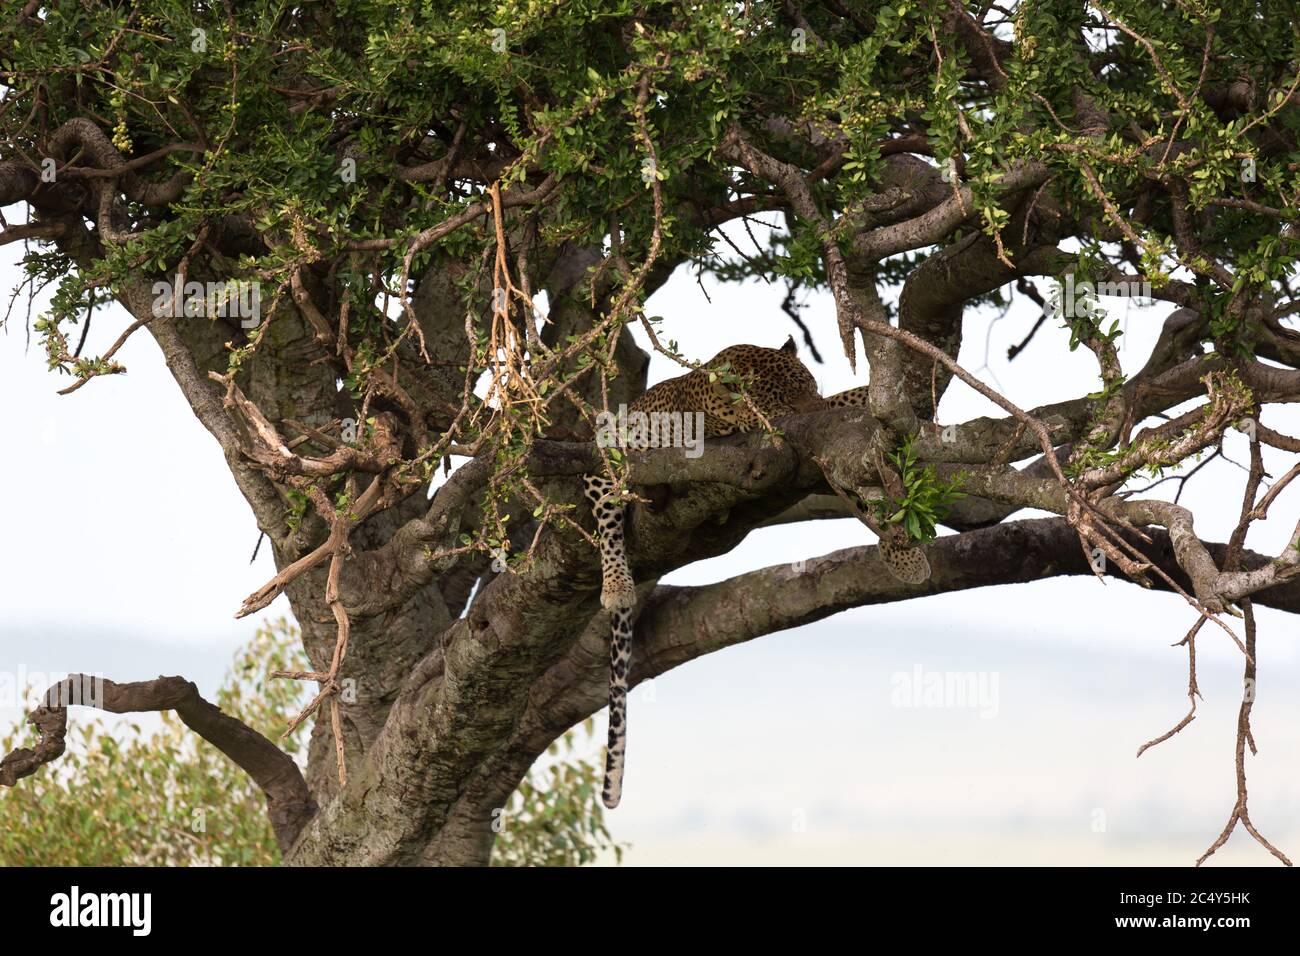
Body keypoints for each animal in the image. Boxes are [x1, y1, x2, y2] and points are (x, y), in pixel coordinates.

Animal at [583, 336, 931, 809]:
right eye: (780, 395)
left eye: (809, 385)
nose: (810, 408)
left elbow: (842, 416)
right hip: (604, 471)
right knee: (608, 517)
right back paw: (618, 585)